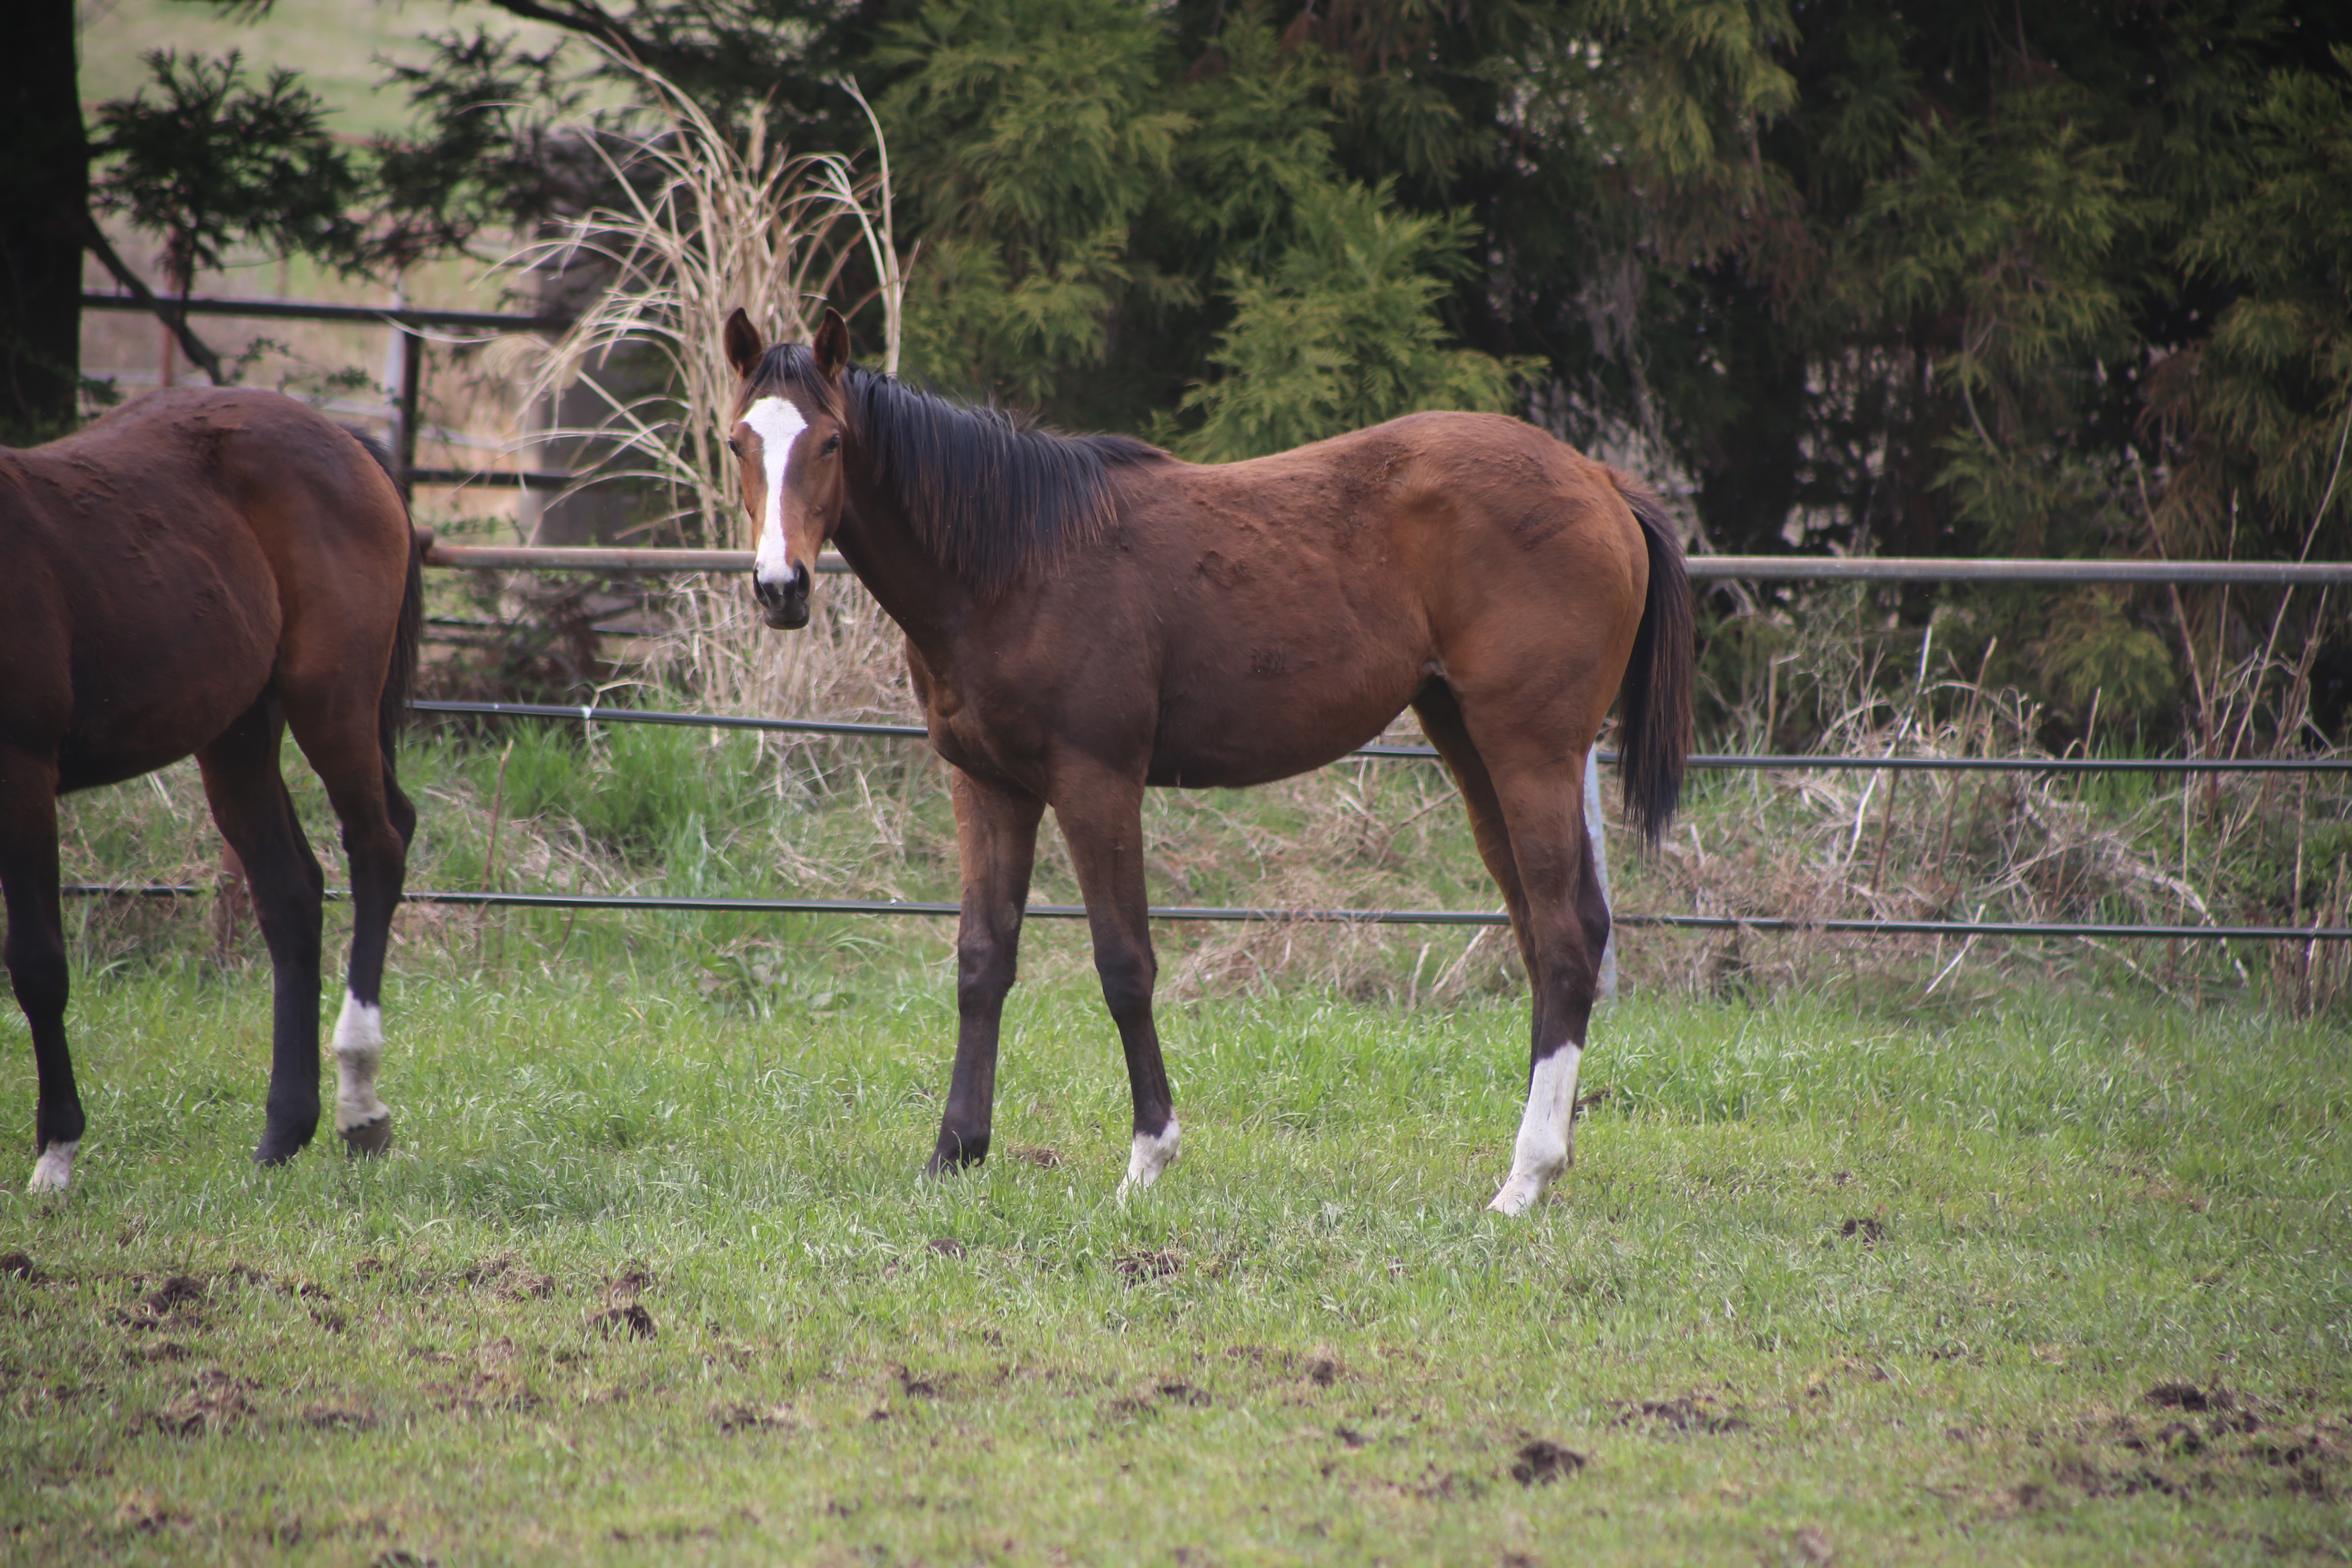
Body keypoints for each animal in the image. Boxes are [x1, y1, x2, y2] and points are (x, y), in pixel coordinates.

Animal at [0, 390, 419, 1189]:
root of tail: (339, 436)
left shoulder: (23, 773)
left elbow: (38, 966)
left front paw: (56, 1159)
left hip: (331, 702)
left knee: (378, 845)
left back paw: (359, 1104)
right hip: (237, 732)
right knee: (290, 894)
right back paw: (284, 1131)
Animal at [724, 305, 1684, 1213]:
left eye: (832, 441)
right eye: (738, 441)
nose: (781, 588)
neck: (1015, 561)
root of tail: (1600, 481)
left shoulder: (1097, 782)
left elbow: (1124, 966)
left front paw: (1148, 1158)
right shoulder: (988, 786)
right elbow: (981, 961)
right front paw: (954, 1154)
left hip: (1532, 750)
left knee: (1565, 937)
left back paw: (1524, 1178)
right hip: (1469, 742)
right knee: (1547, 933)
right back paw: (1546, 1160)